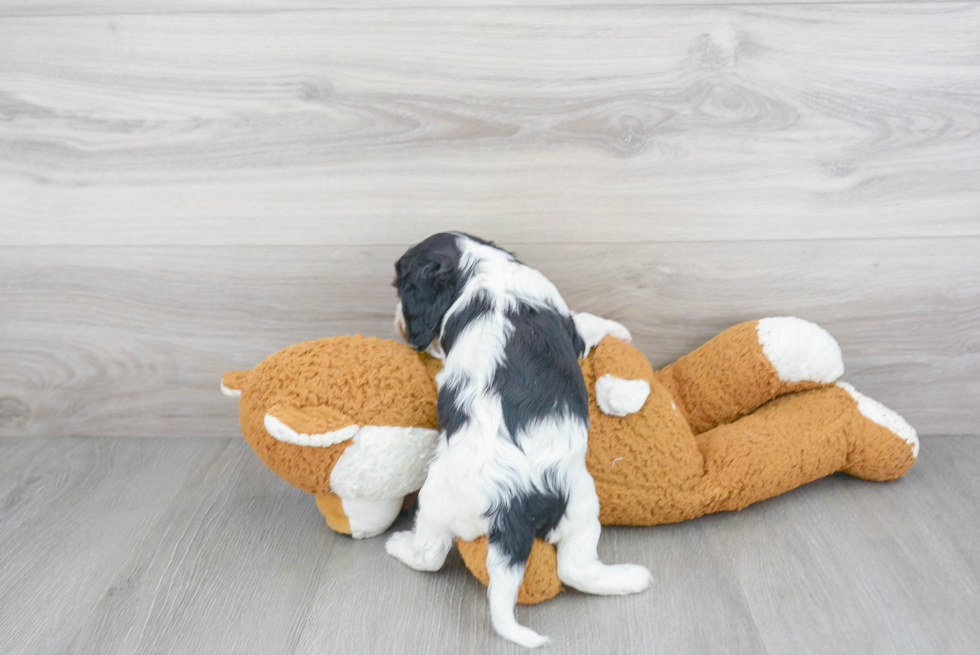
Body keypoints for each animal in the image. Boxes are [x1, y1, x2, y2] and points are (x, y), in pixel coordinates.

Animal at [384, 233, 652, 648]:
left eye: (400, 289)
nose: (398, 323)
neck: (480, 268)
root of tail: (510, 502)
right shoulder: (567, 322)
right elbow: (586, 322)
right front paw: (618, 329)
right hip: (580, 504)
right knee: (575, 567)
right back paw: (632, 578)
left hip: (444, 502)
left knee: (432, 553)